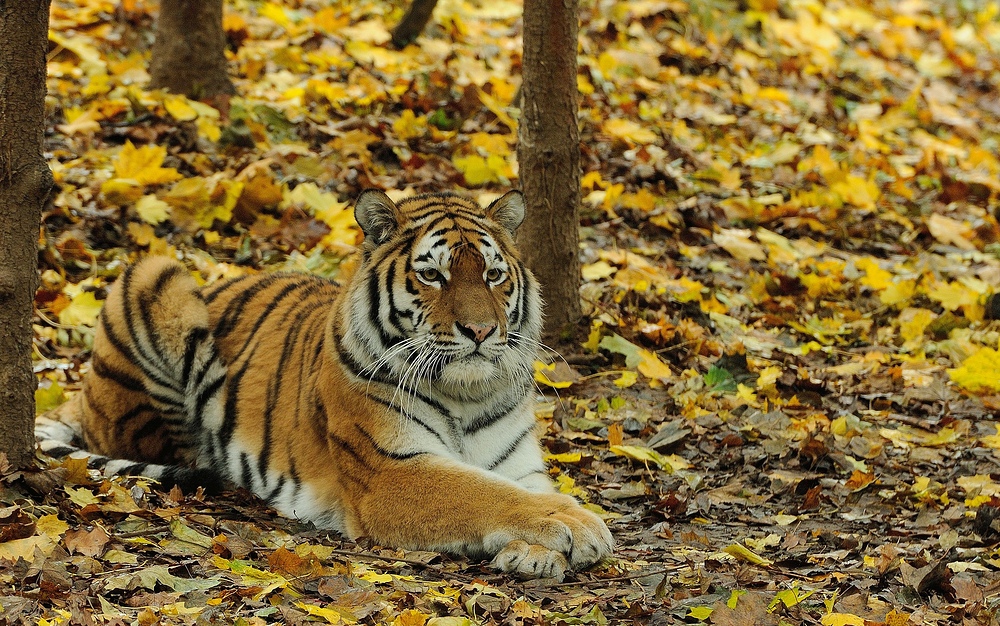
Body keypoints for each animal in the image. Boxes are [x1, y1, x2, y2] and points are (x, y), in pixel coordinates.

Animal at [39, 189, 612, 576]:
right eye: (433, 275)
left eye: (493, 275)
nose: (481, 331)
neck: (468, 392)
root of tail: (80, 398)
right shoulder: (390, 471)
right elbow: (483, 493)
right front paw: (582, 527)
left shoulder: (519, 465)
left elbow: (517, 490)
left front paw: (536, 551)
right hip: (157, 275)